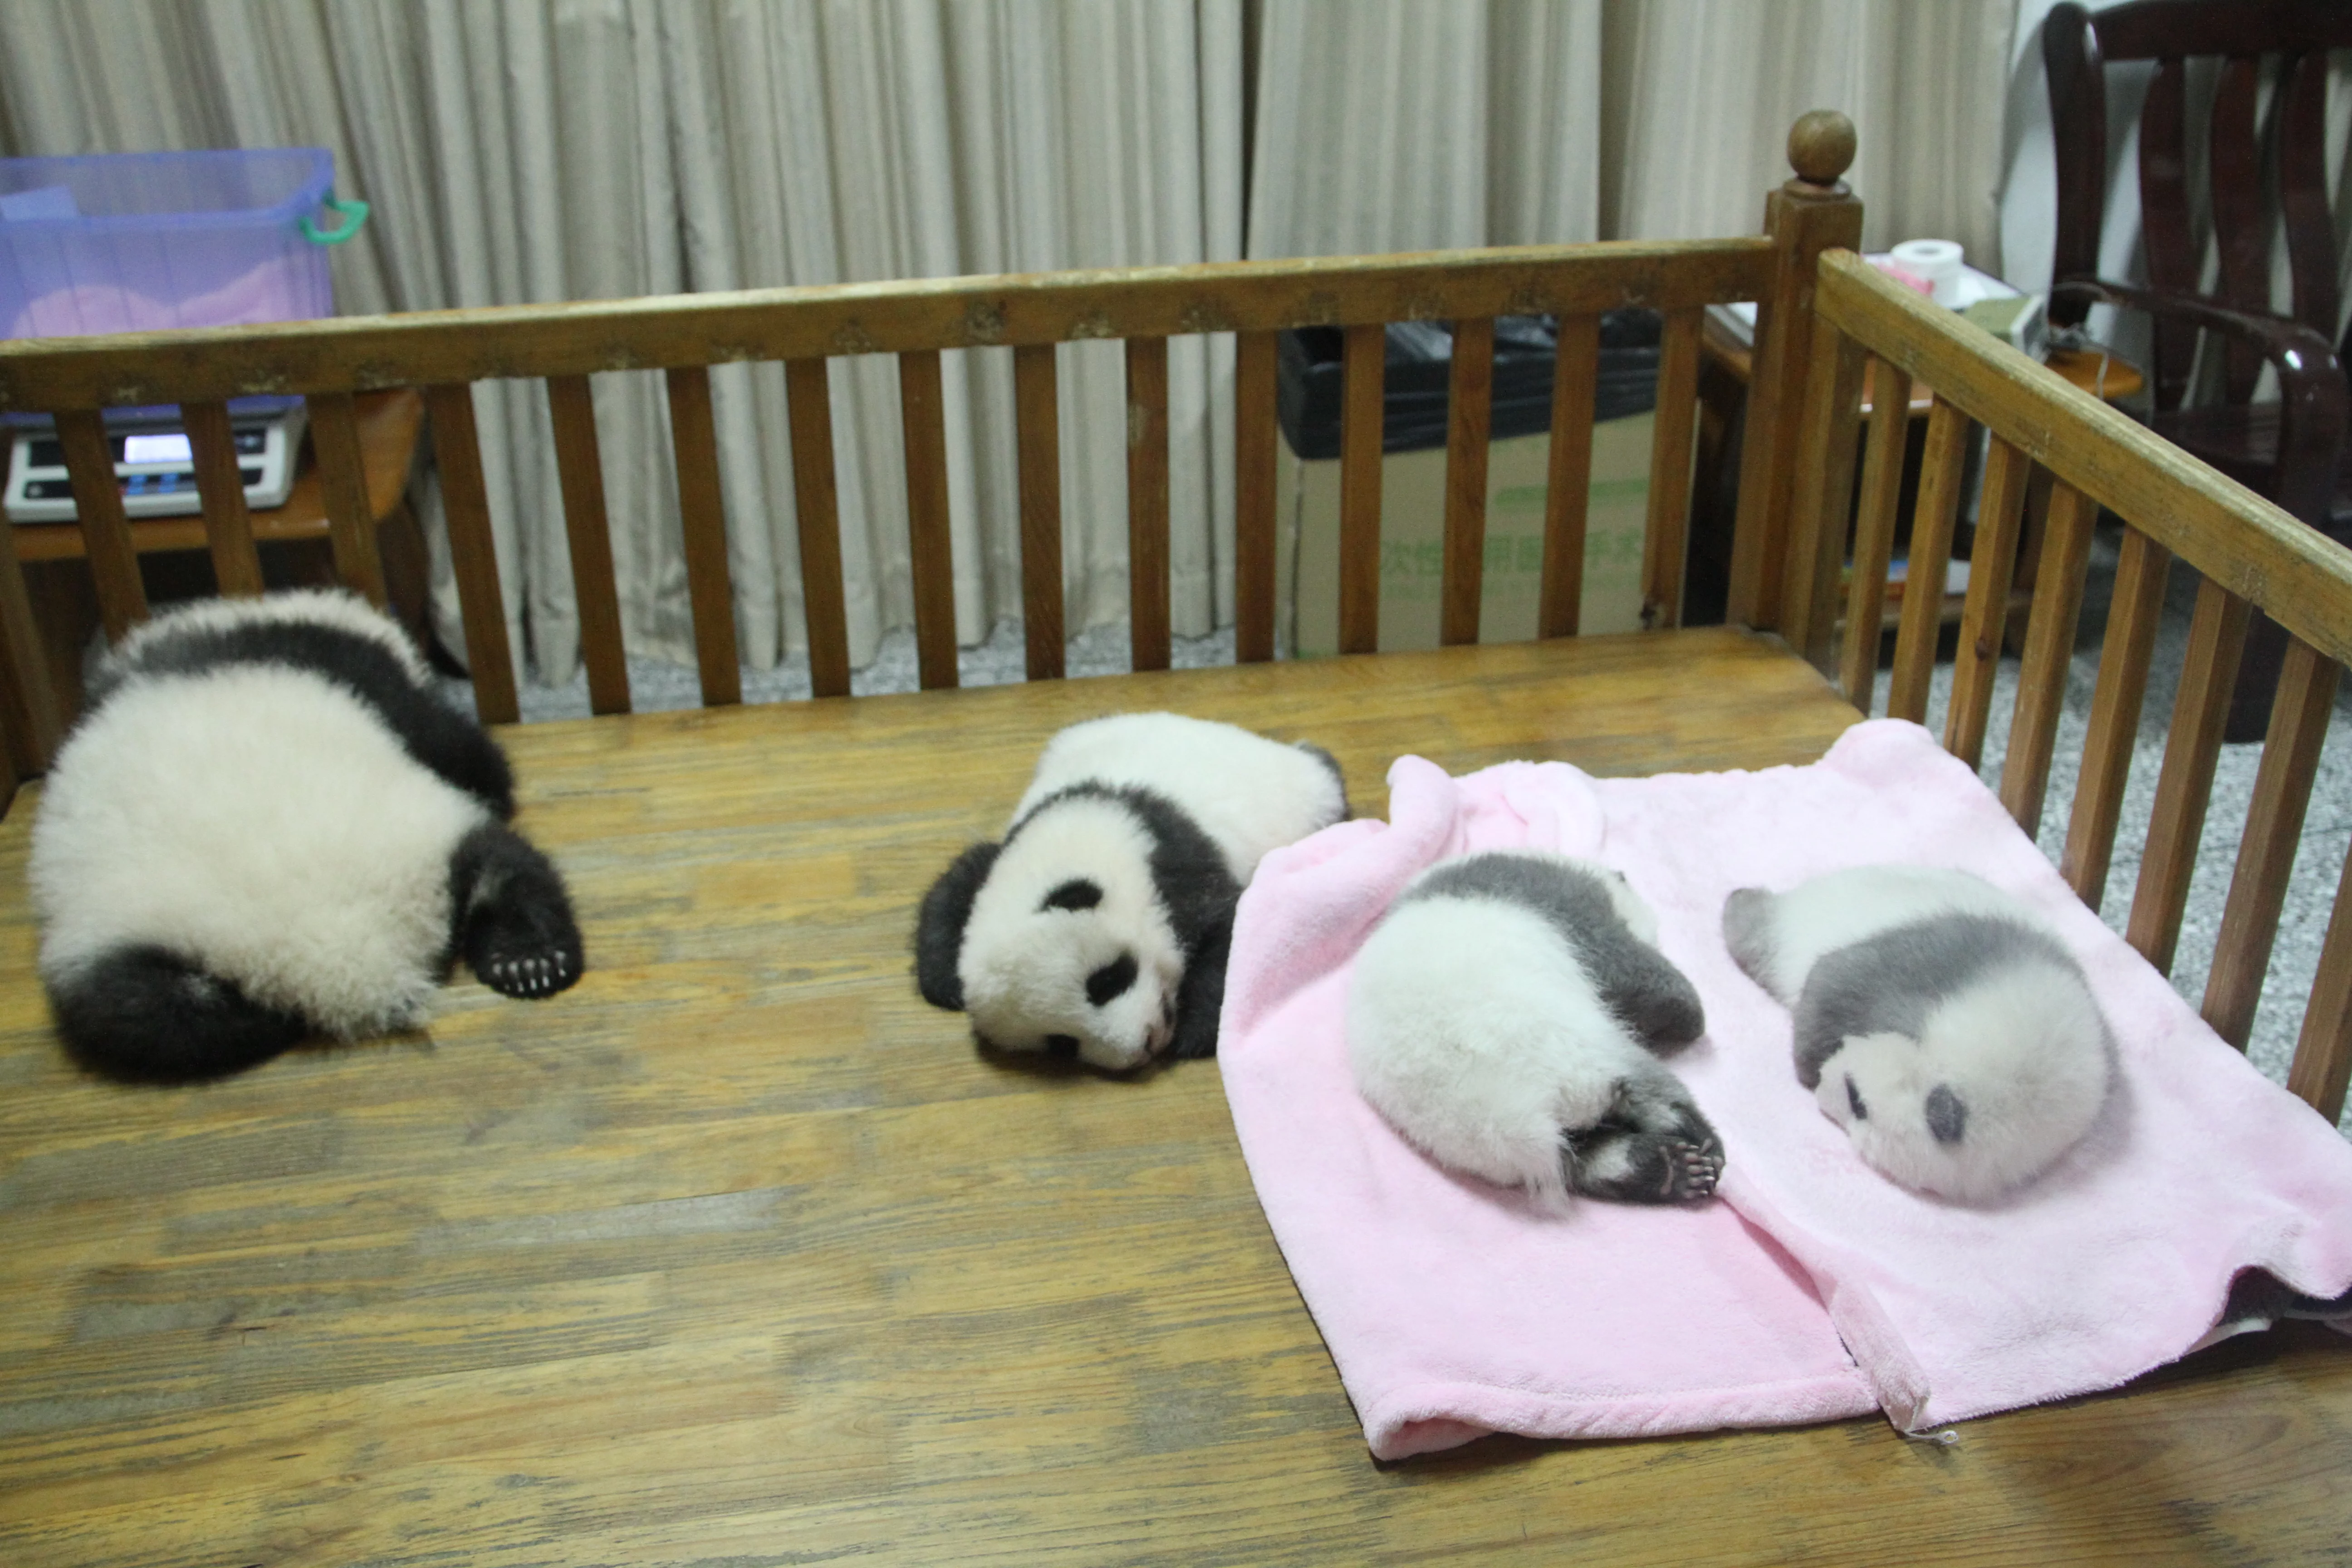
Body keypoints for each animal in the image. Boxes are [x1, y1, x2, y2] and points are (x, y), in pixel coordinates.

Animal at [914, 712, 1348, 1072]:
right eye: (1062, 1043)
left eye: (1106, 981)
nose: (1143, 1045)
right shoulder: (1004, 853)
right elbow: (957, 884)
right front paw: (943, 982)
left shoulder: (1175, 861)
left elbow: (1232, 930)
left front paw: (1196, 1032)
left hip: (1305, 804)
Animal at [1348, 850, 1723, 1207]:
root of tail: (1526, 1117)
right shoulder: (1563, 902)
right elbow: (1635, 971)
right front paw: (1686, 1015)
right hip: (1587, 1047)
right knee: (1651, 1091)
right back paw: (1698, 1144)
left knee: (1587, 1157)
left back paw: (1667, 1170)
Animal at [1721, 865, 2115, 1203]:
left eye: (1856, 1106)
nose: (1821, 1094)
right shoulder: (1936, 974)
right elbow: (1833, 983)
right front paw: (1808, 1065)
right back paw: (1740, 902)